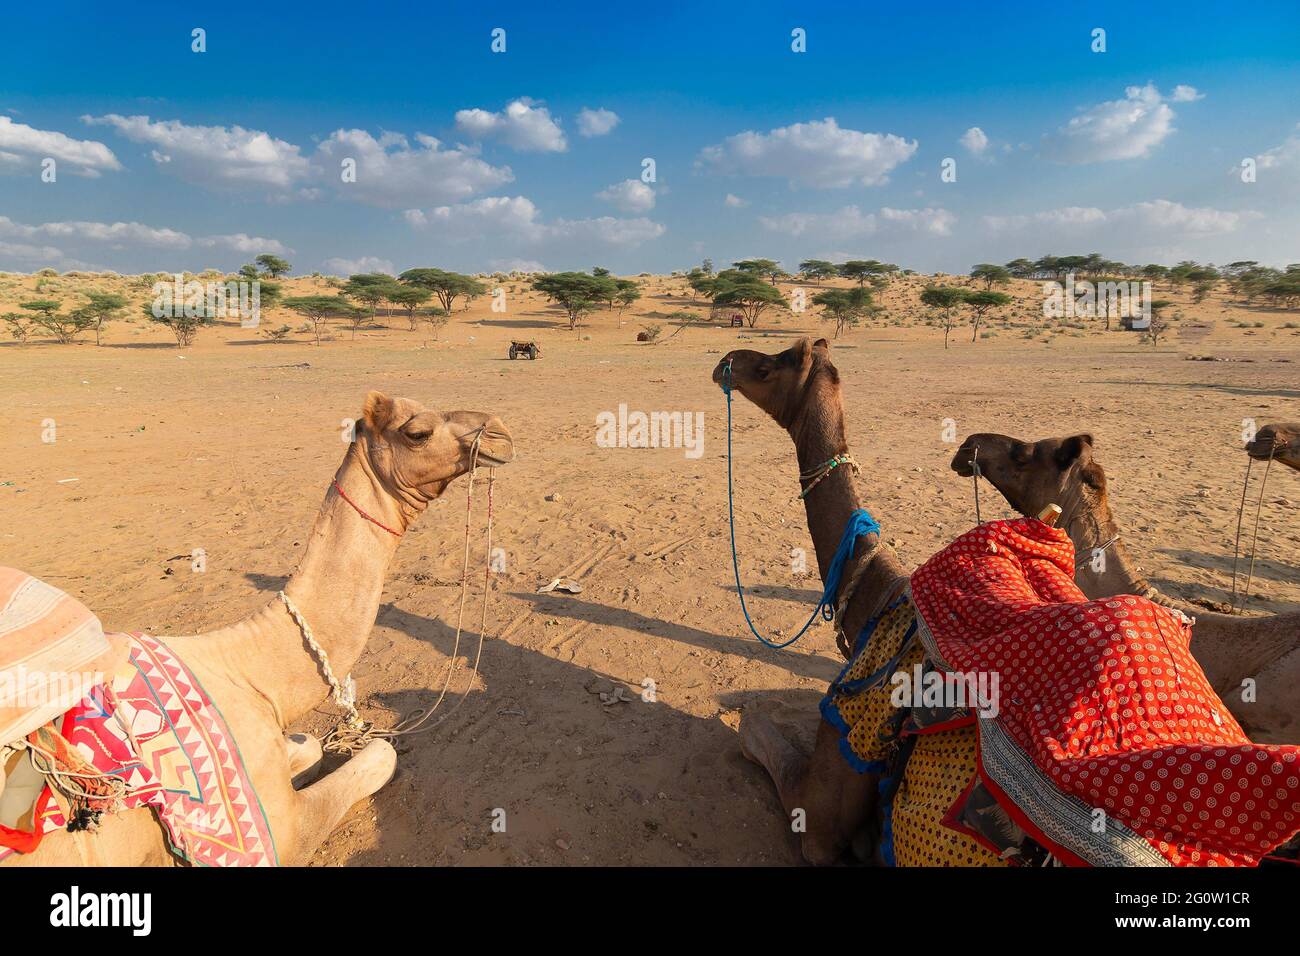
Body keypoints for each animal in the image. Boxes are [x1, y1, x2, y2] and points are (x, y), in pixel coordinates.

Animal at [5, 390, 512, 868]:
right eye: (418, 432)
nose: (501, 431)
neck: (251, 674)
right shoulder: (273, 832)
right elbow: (381, 757)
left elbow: (309, 743)